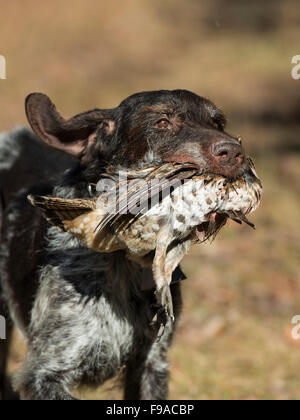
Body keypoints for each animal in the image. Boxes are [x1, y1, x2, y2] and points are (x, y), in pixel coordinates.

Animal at [0, 90, 262, 398]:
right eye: (161, 122)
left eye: (217, 122)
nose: (234, 151)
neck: (123, 262)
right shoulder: (46, 374)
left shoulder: (150, 366)